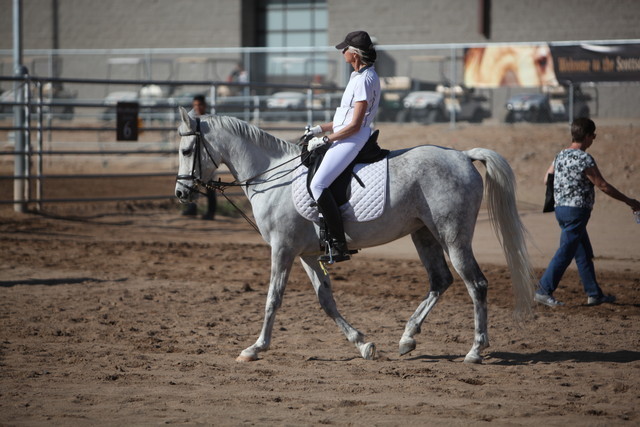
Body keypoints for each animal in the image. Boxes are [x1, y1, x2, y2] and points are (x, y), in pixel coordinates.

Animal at [174, 107, 535, 364]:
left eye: (186, 150)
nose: (180, 193)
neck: (270, 176)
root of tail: (462, 155)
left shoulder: (283, 248)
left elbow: (273, 298)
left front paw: (255, 347)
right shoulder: (306, 253)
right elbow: (326, 300)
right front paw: (362, 343)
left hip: (452, 236)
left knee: (476, 284)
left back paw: (475, 350)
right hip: (424, 234)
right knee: (440, 280)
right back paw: (407, 338)